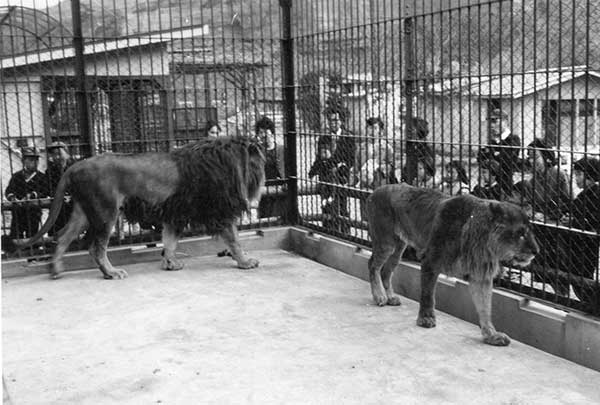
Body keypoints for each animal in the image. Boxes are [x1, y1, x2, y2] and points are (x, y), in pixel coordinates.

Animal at [14, 136, 264, 278]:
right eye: (259, 161)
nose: (263, 174)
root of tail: (74, 166)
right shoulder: (220, 211)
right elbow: (234, 240)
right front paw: (245, 262)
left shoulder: (175, 213)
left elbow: (169, 241)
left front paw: (170, 264)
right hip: (106, 211)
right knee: (96, 247)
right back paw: (111, 273)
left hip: (83, 211)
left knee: (63, 236)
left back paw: (55, 269)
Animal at [366, 183, 540, 344]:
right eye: (521, 234)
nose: (536, 251)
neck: (483, 240)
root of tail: (376, 190)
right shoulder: (431, 261)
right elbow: (428, 295)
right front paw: (426, 319)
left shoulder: (480, 276)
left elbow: (485, 307)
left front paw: (491, 335)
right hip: (386, 243)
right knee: (373, 265)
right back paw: (379, 296)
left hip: (398, 248)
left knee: (386, 271)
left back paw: (390, 297)